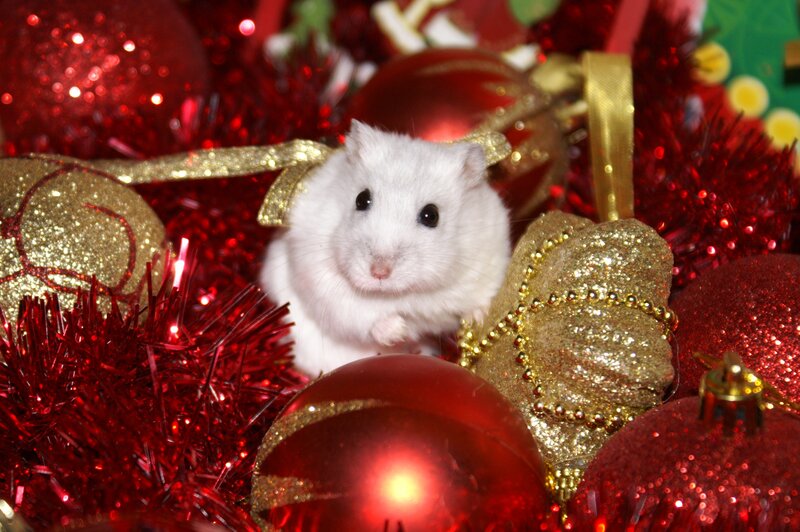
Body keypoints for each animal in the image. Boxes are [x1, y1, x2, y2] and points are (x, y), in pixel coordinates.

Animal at [260, 121, 511, 375]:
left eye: (431, 215)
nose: (379, 273)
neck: (402, 293)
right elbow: (362, 314)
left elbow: (479, 298)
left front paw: (476, 319)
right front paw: (400, 330)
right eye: (361, 199)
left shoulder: (486, 259)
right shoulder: (320, 280)